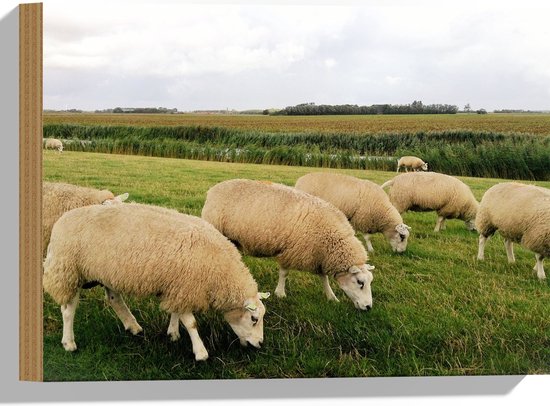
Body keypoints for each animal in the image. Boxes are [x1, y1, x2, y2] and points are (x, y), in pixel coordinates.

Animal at [43, 201, 270, 360]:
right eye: (254, 319)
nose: (260, 344)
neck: (220, 270)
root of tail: (63, 218)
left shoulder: (177, 286)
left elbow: (176, 312)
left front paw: (173, 333)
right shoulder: (184, 286)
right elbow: (191, 322)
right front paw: (200, 352)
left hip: (105, 272)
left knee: (114, 299)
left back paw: (133, 326)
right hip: (68, 270)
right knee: (68, 310)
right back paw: (69, 342)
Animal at [201, 178, 378, 310]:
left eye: (370, 281)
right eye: (360, 282)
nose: (368, 307)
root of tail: (213, 190)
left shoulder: (319, 255)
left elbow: (324, 278)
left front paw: (331, 296)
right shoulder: (290, 250)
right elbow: (284, 273)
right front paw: (280, 293)